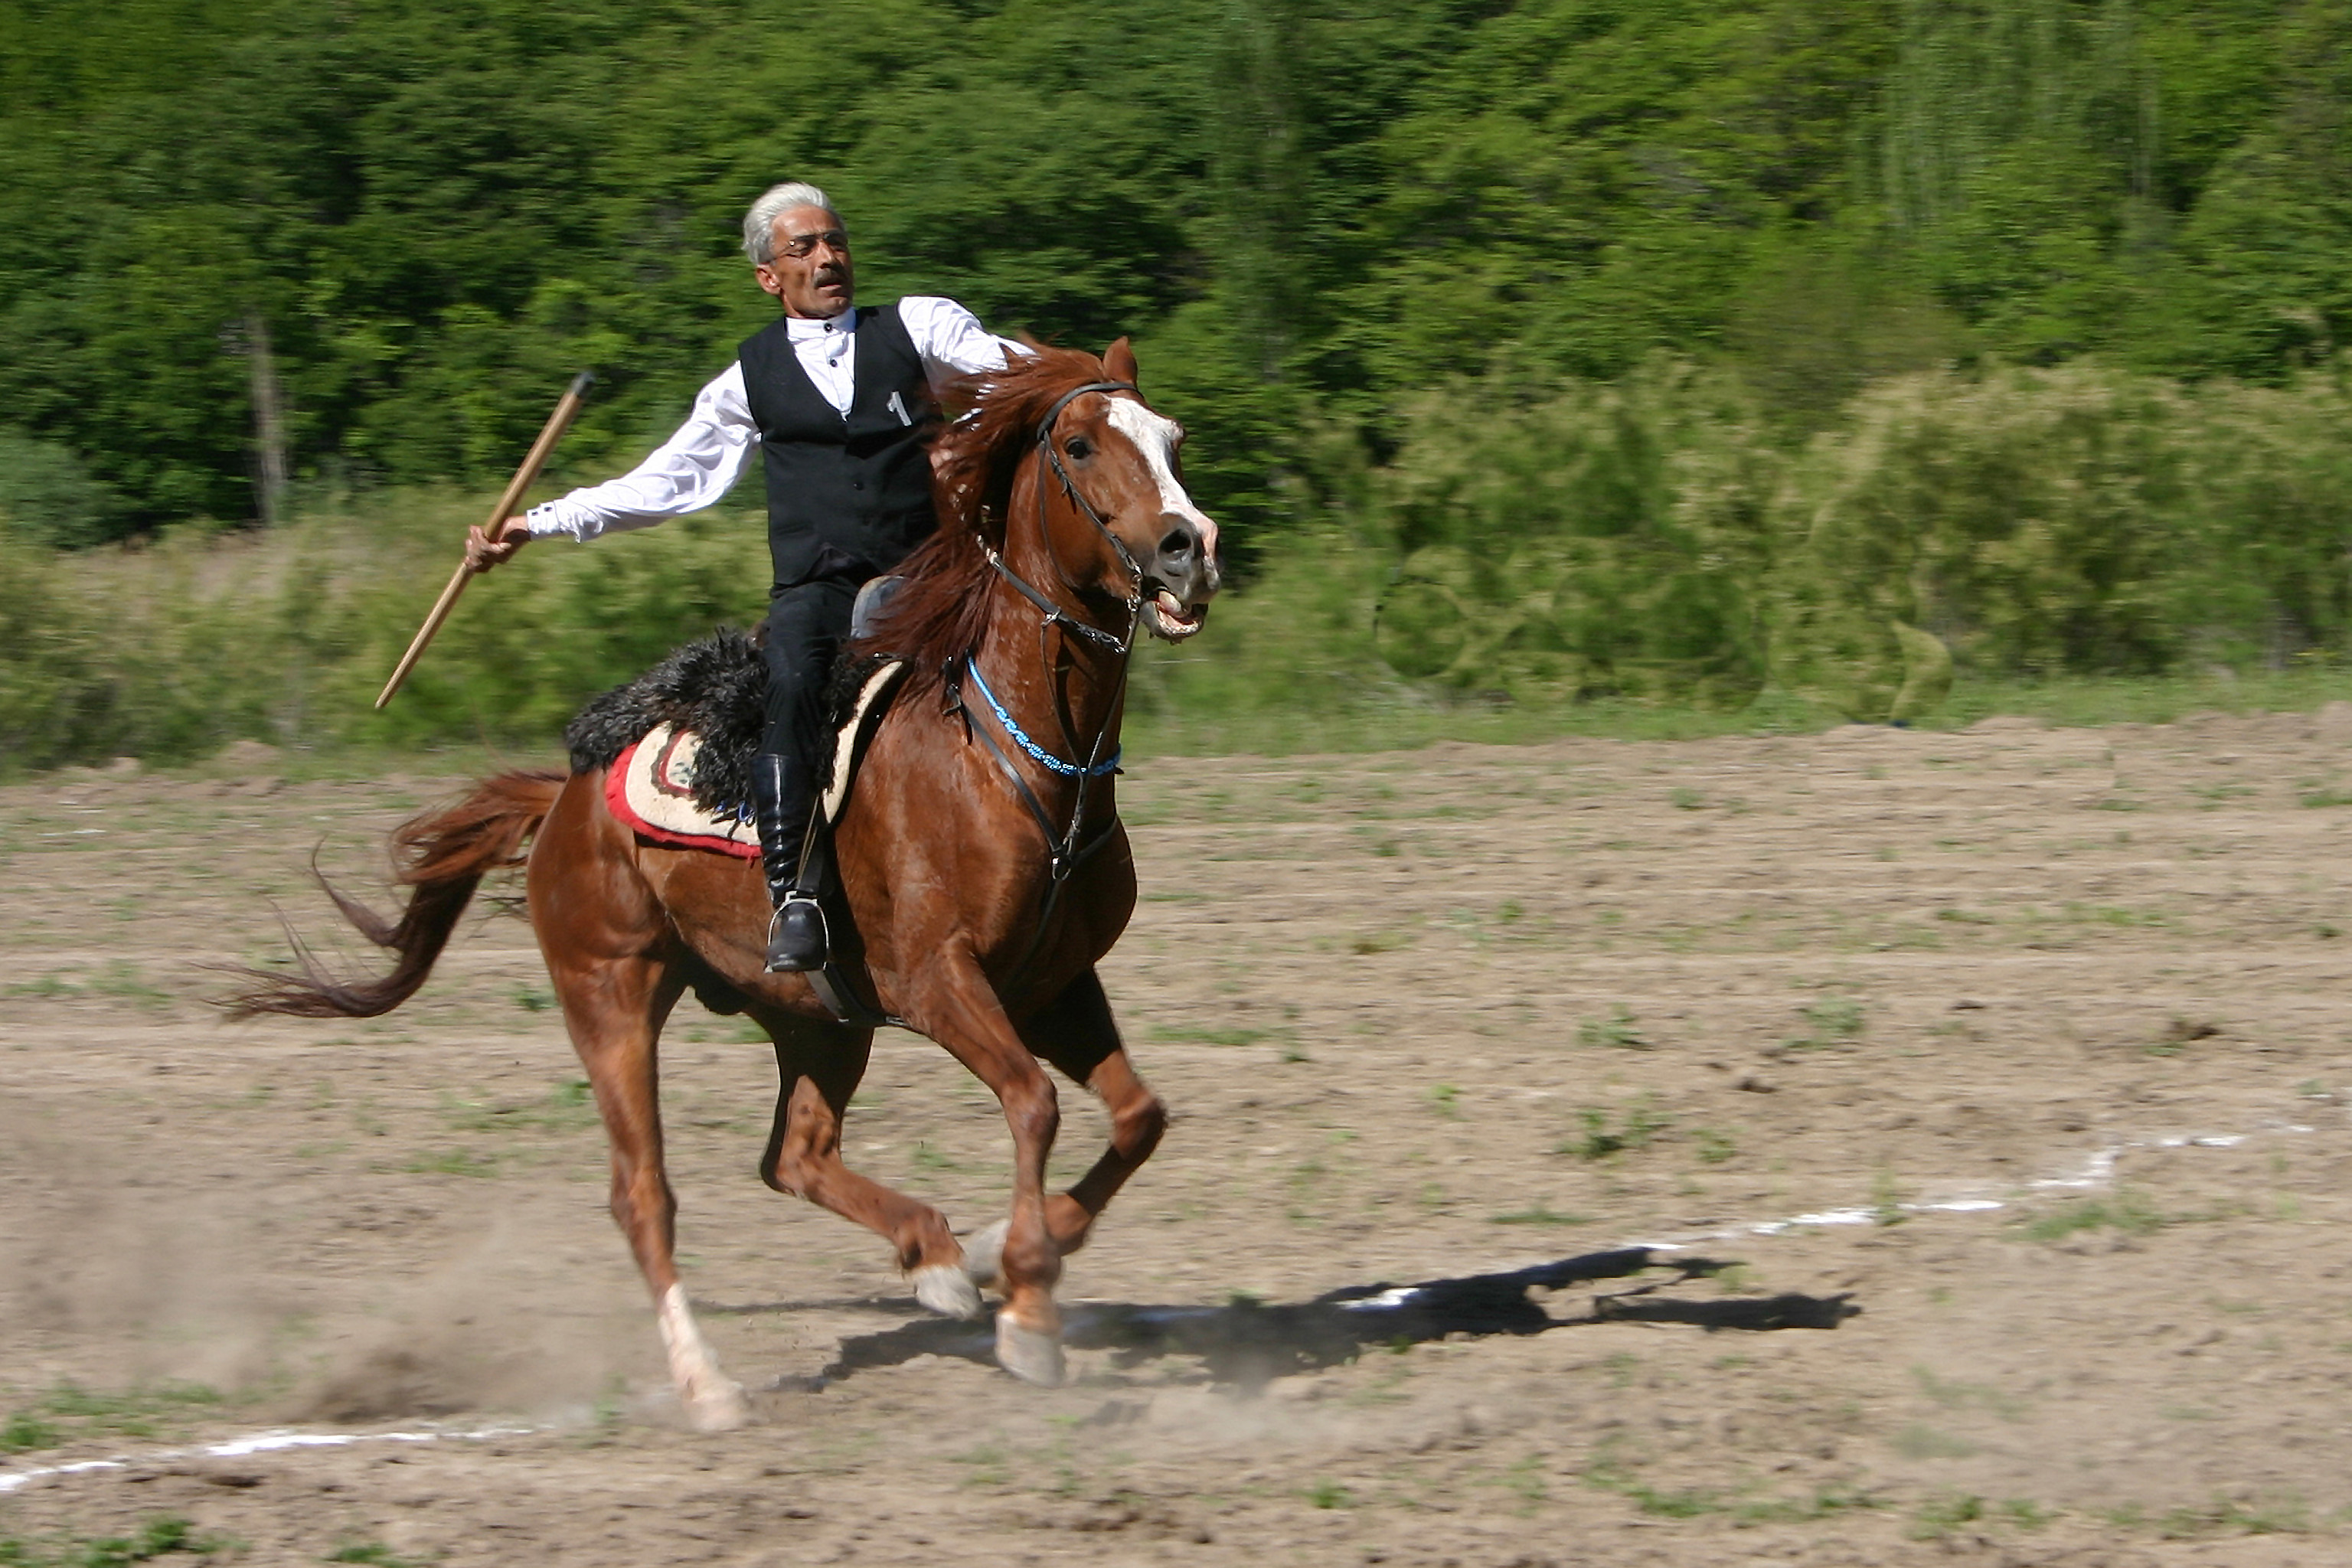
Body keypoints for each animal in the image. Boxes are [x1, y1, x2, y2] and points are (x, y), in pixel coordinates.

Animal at [236, 345, 1223, 1439]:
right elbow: (1035, 1103)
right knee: (644, 1193)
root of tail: (566, 794)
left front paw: (1010, 1253)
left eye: (1172, 438)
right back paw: (709, 1381)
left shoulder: (1055, 983)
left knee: (794, 1154)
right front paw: (1030, 1304)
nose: (1190, 548)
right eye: (1081, 444)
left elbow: (1138, 1115)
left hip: (819, 1016)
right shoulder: (941, 982)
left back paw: (934, 1257)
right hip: (612, 994)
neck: (1007, 751)